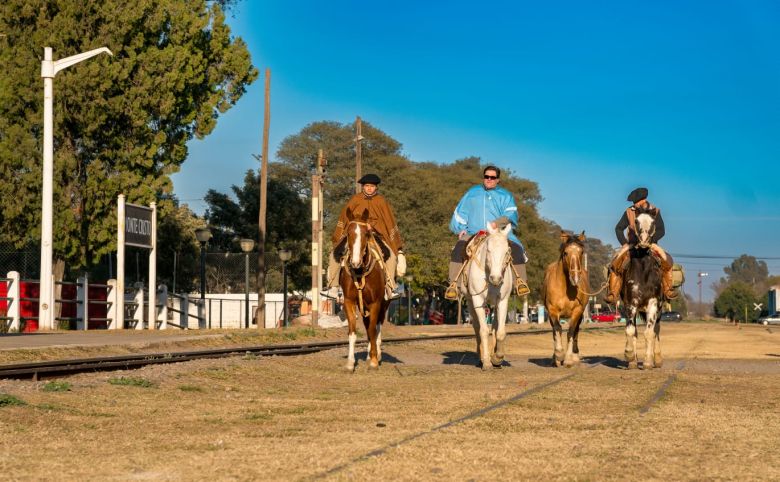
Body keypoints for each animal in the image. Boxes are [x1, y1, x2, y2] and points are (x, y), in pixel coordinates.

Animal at [460, 221, 516, 370]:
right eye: (489, 250)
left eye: (507, 251)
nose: (495, 278)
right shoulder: (478, 300)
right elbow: (484, 330)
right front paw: (486, 361)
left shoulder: (503, 300)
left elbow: (500, 332)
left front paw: (497, 358)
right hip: (470, 302)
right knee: (477, 328)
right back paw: (481, 357)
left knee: (495, 327)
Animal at [540, 232, 588, 368]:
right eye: (565, 252)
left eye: (581, 252)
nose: (575, 278)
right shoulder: (552, 310)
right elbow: (557, 329)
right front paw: (559, 355)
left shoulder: (577, 311)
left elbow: (571, 332)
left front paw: (568, 360)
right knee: (555, 331)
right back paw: (555, 358)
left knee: (576, 331)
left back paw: (575, 357)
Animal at [620, 206, 664, 370]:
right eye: (637, 221)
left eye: (653, 222)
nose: (644, 242)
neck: (644, 270)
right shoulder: (630, 304)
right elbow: (631, 330)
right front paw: (629, 356)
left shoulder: (653, 304)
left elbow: (649, 333)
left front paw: (648, 362)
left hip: (659, 310)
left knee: (656, 330)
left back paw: (657, 359)